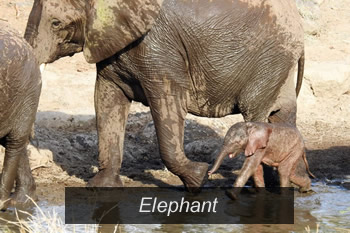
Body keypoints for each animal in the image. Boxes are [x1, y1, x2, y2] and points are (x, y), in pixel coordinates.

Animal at [23, 0, 304, 191]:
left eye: (56, 23)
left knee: (256, 113)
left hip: (270, 59)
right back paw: (288, 184)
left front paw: (199, 178)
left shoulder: (158, 48)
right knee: (282, 116)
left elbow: (168, 101)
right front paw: (101, 187)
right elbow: (106, 99)